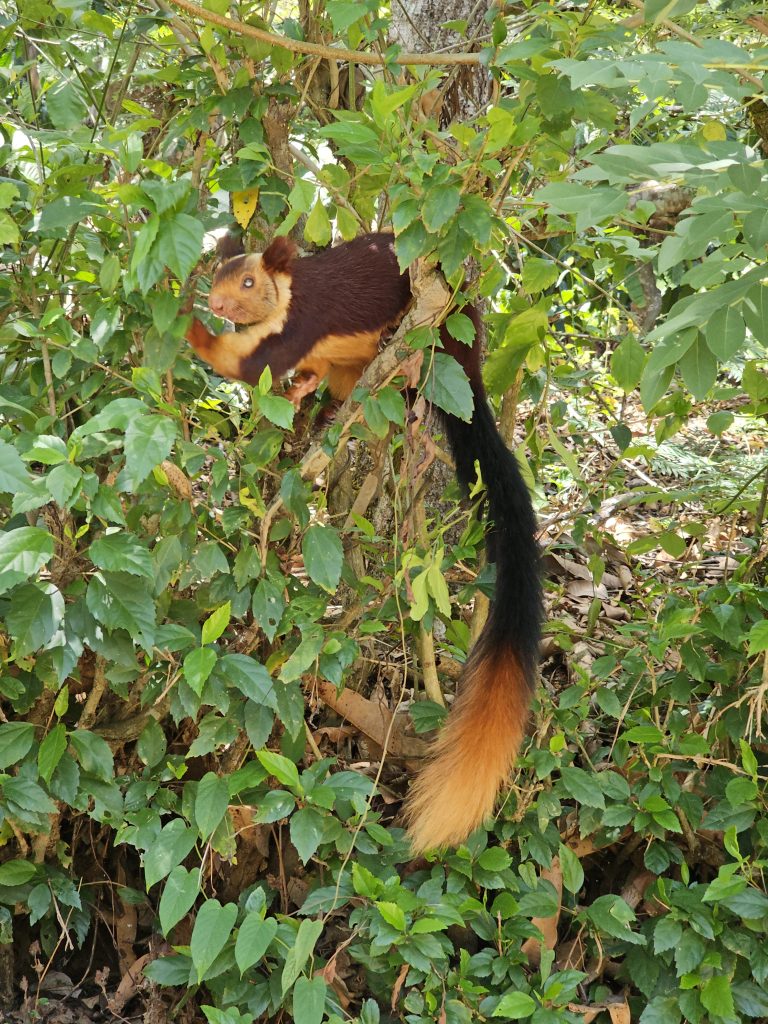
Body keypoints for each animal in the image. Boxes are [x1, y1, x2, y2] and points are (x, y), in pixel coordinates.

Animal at [184, 234, 540, 856]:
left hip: (435, 343)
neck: (286, 293)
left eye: (248, 282)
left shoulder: (301, 323)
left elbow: (249, 365)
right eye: (221, 273)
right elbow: (278, 371)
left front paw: (188, 323)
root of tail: (470, 358)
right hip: (357, 369)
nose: (218, 304)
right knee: (350, 384)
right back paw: (324, 406)